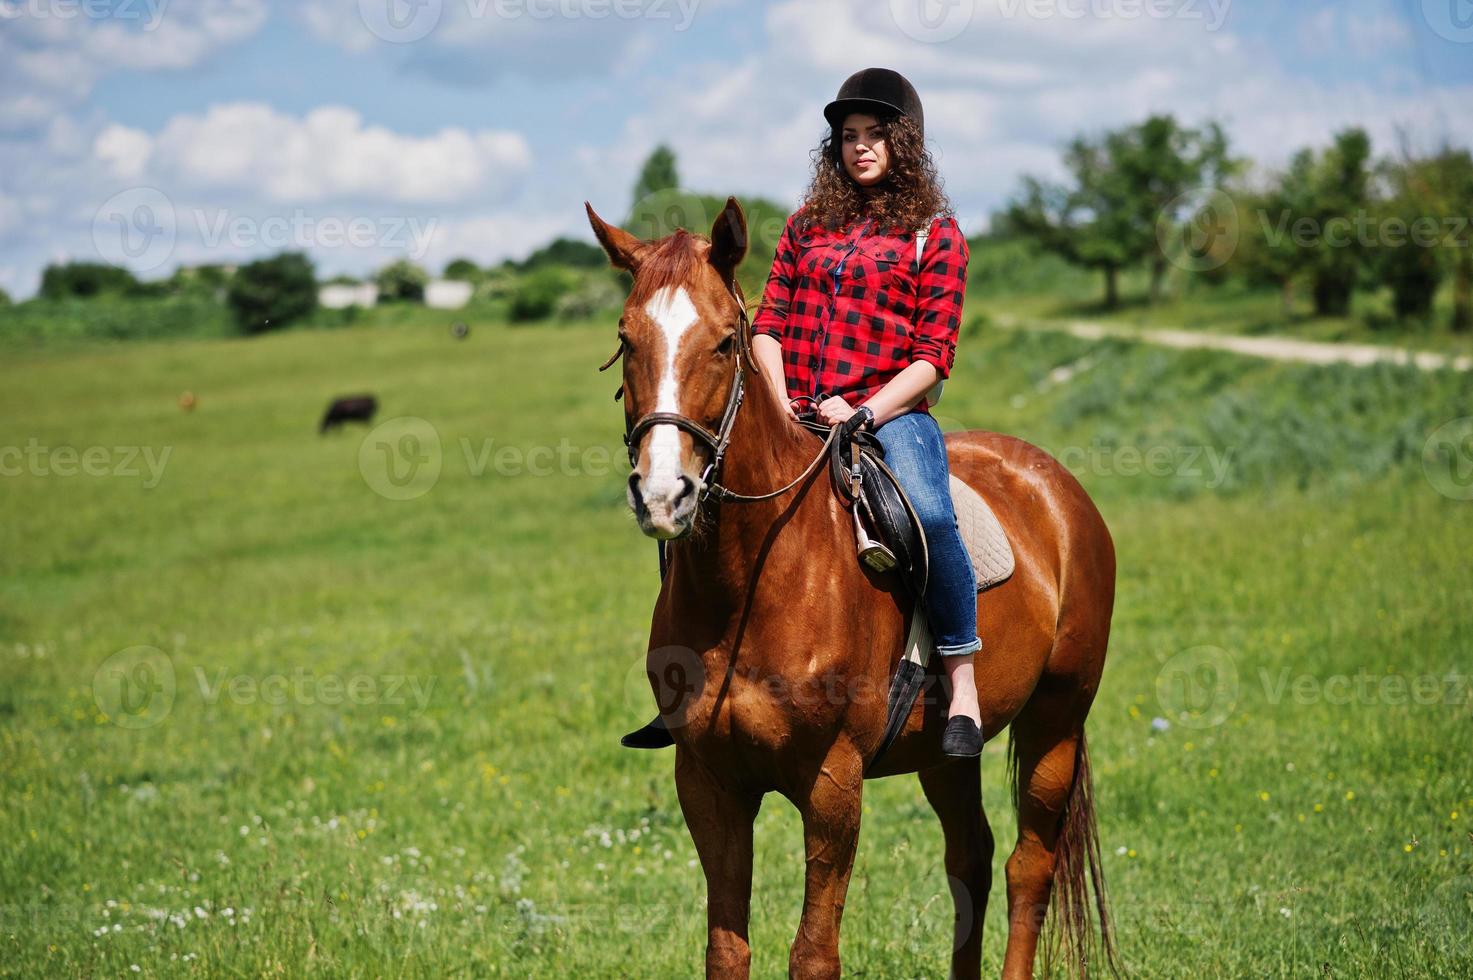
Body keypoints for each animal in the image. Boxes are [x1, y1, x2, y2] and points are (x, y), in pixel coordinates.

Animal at [586, 194, 1113, 972]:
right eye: (627, 340)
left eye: (724, 342)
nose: (663, 494)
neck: (752, 584)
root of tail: (1056, 486)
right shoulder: (707, 782)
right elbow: (726, 950)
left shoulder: (831, 783)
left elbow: (813, 953)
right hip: (948, 751)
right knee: (971, 858)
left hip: (1057, 720)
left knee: (1029, 866)